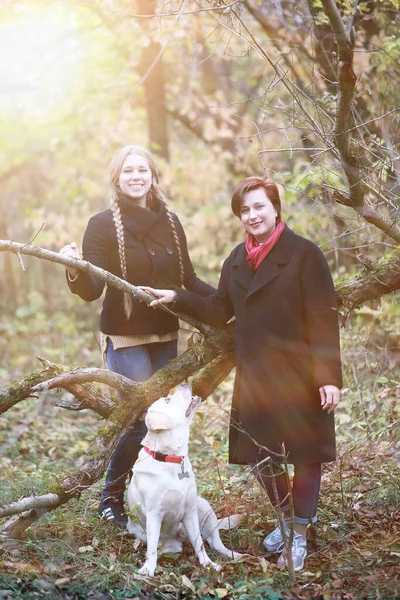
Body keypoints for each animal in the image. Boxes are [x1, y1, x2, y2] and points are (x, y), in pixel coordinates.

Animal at [126, 382, 242, 580]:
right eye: (167, 400)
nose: (184, 382)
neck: (170, 458)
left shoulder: (190, 511)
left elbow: (199, 544)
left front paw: (208, 565)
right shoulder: (154, 514)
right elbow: (151, 550)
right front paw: (148, 569)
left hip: (203, 506)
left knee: (214, 542)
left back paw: (236, 556)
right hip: (144, 532)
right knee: (167, 547)